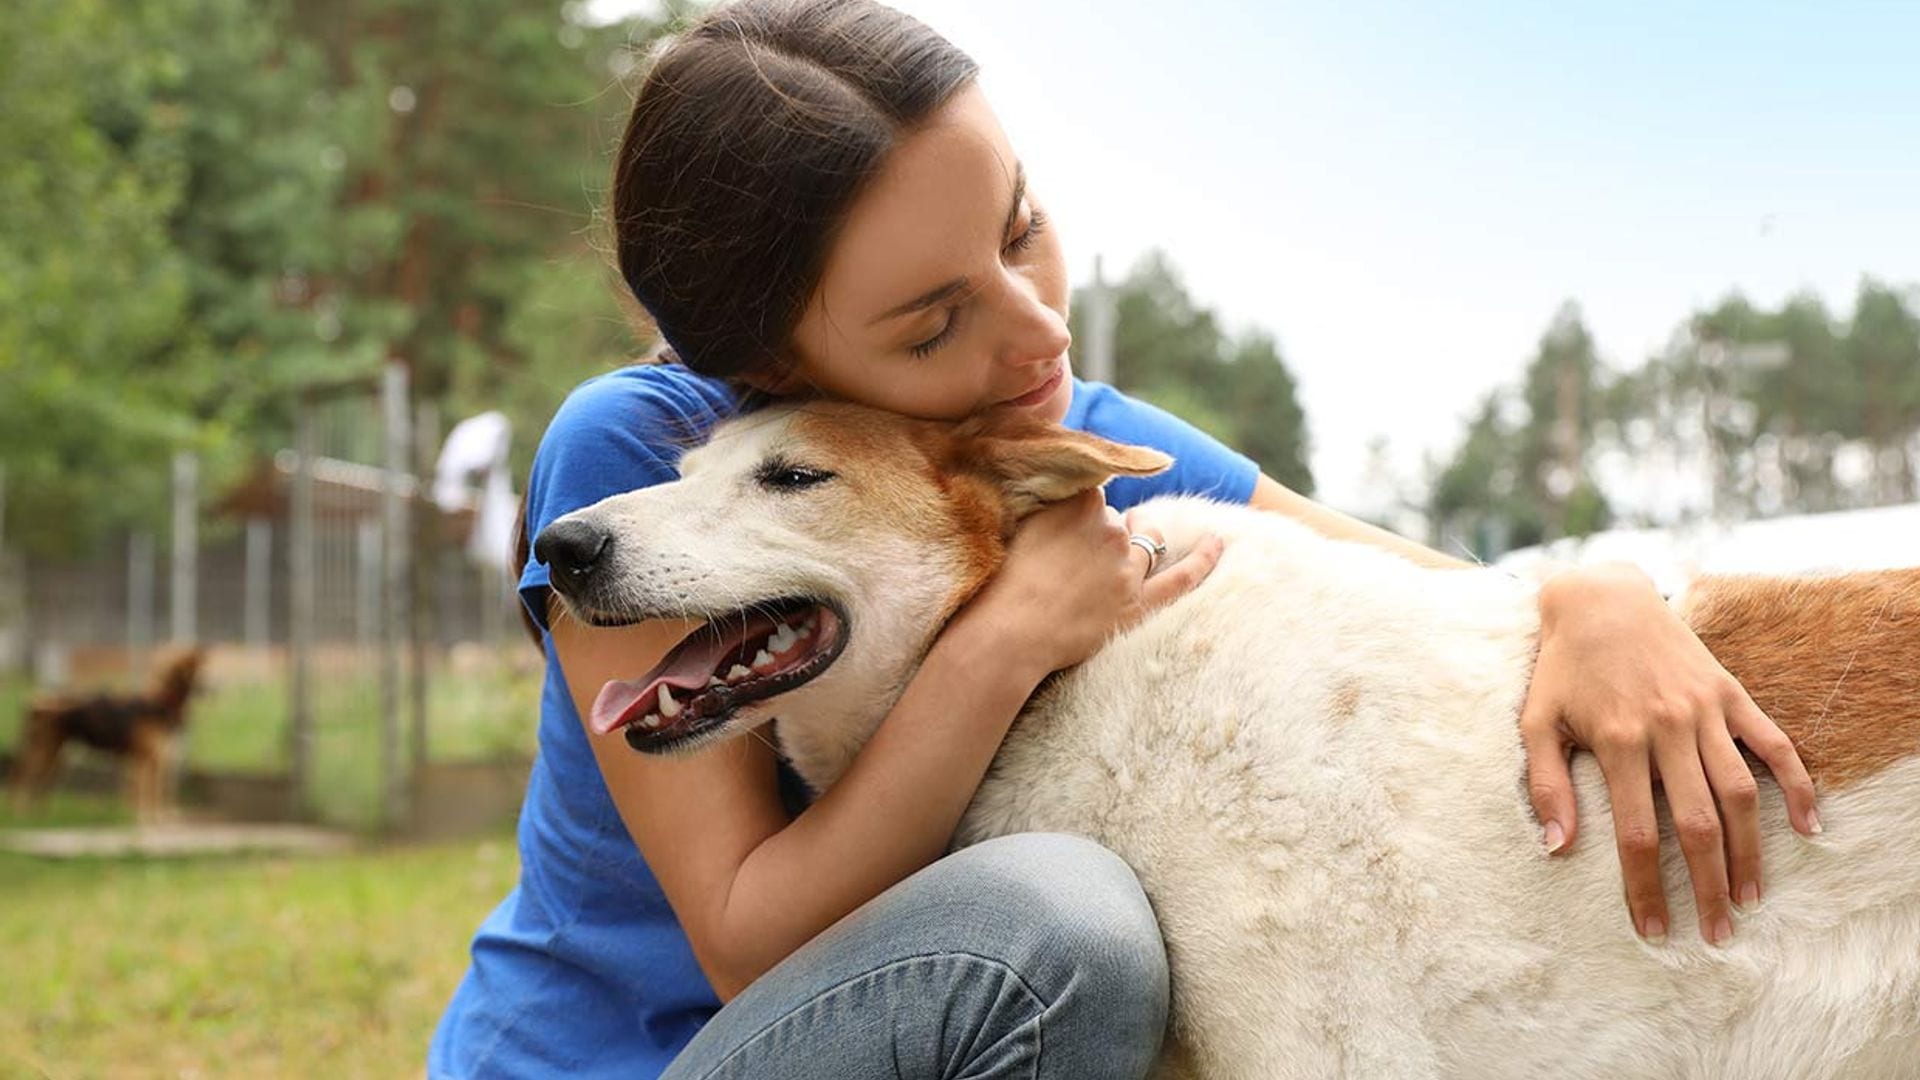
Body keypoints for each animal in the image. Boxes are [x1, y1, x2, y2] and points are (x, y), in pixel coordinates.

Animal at [10, 645, 207, 814]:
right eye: (200, 667)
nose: (208, 686)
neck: (159, 703)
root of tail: (36, 700)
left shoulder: (154, 760)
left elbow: (153, 796)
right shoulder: (145, 760)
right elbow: (145, 797)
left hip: (58, 755)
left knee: (40, 783)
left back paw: (40, 814)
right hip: (44, 751)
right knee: (23, 778)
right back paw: (19, 813)